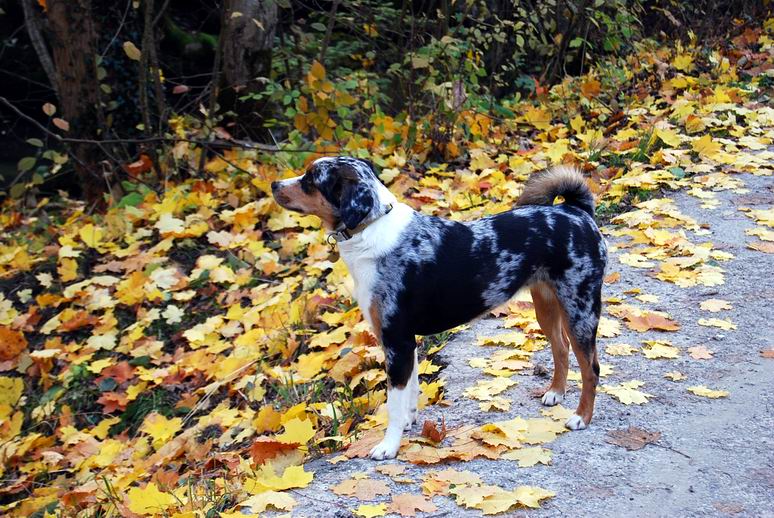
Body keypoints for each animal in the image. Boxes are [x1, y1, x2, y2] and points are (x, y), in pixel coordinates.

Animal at [276, 156, 608, 462]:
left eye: (310, 180)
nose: (275, 185)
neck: (370, 232)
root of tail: (577, 211)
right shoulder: (404, 343)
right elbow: (410, 391)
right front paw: (409, 421)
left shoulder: (396, 341)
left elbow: (393, 403)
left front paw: (388, 446)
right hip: (547, 305)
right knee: (561, 348)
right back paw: (556, 392)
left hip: (580, 308)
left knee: (591, 368)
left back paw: (581, 417)